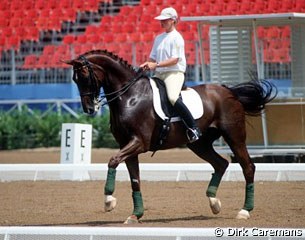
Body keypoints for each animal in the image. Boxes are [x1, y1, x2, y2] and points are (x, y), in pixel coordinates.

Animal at [64, 49, 276, 224]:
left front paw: (109, 201)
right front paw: (135, 215)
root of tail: (230, 91)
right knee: (221, 164)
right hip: (198, 144)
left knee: (247, 167)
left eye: (84, 76)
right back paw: (214, 202)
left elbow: (113, 160)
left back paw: (244, 211)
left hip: (234, 137)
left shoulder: (139, 143)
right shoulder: (128, 145)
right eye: (74, 79)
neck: (130, 96)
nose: (89, 109)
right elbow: (135, 179)